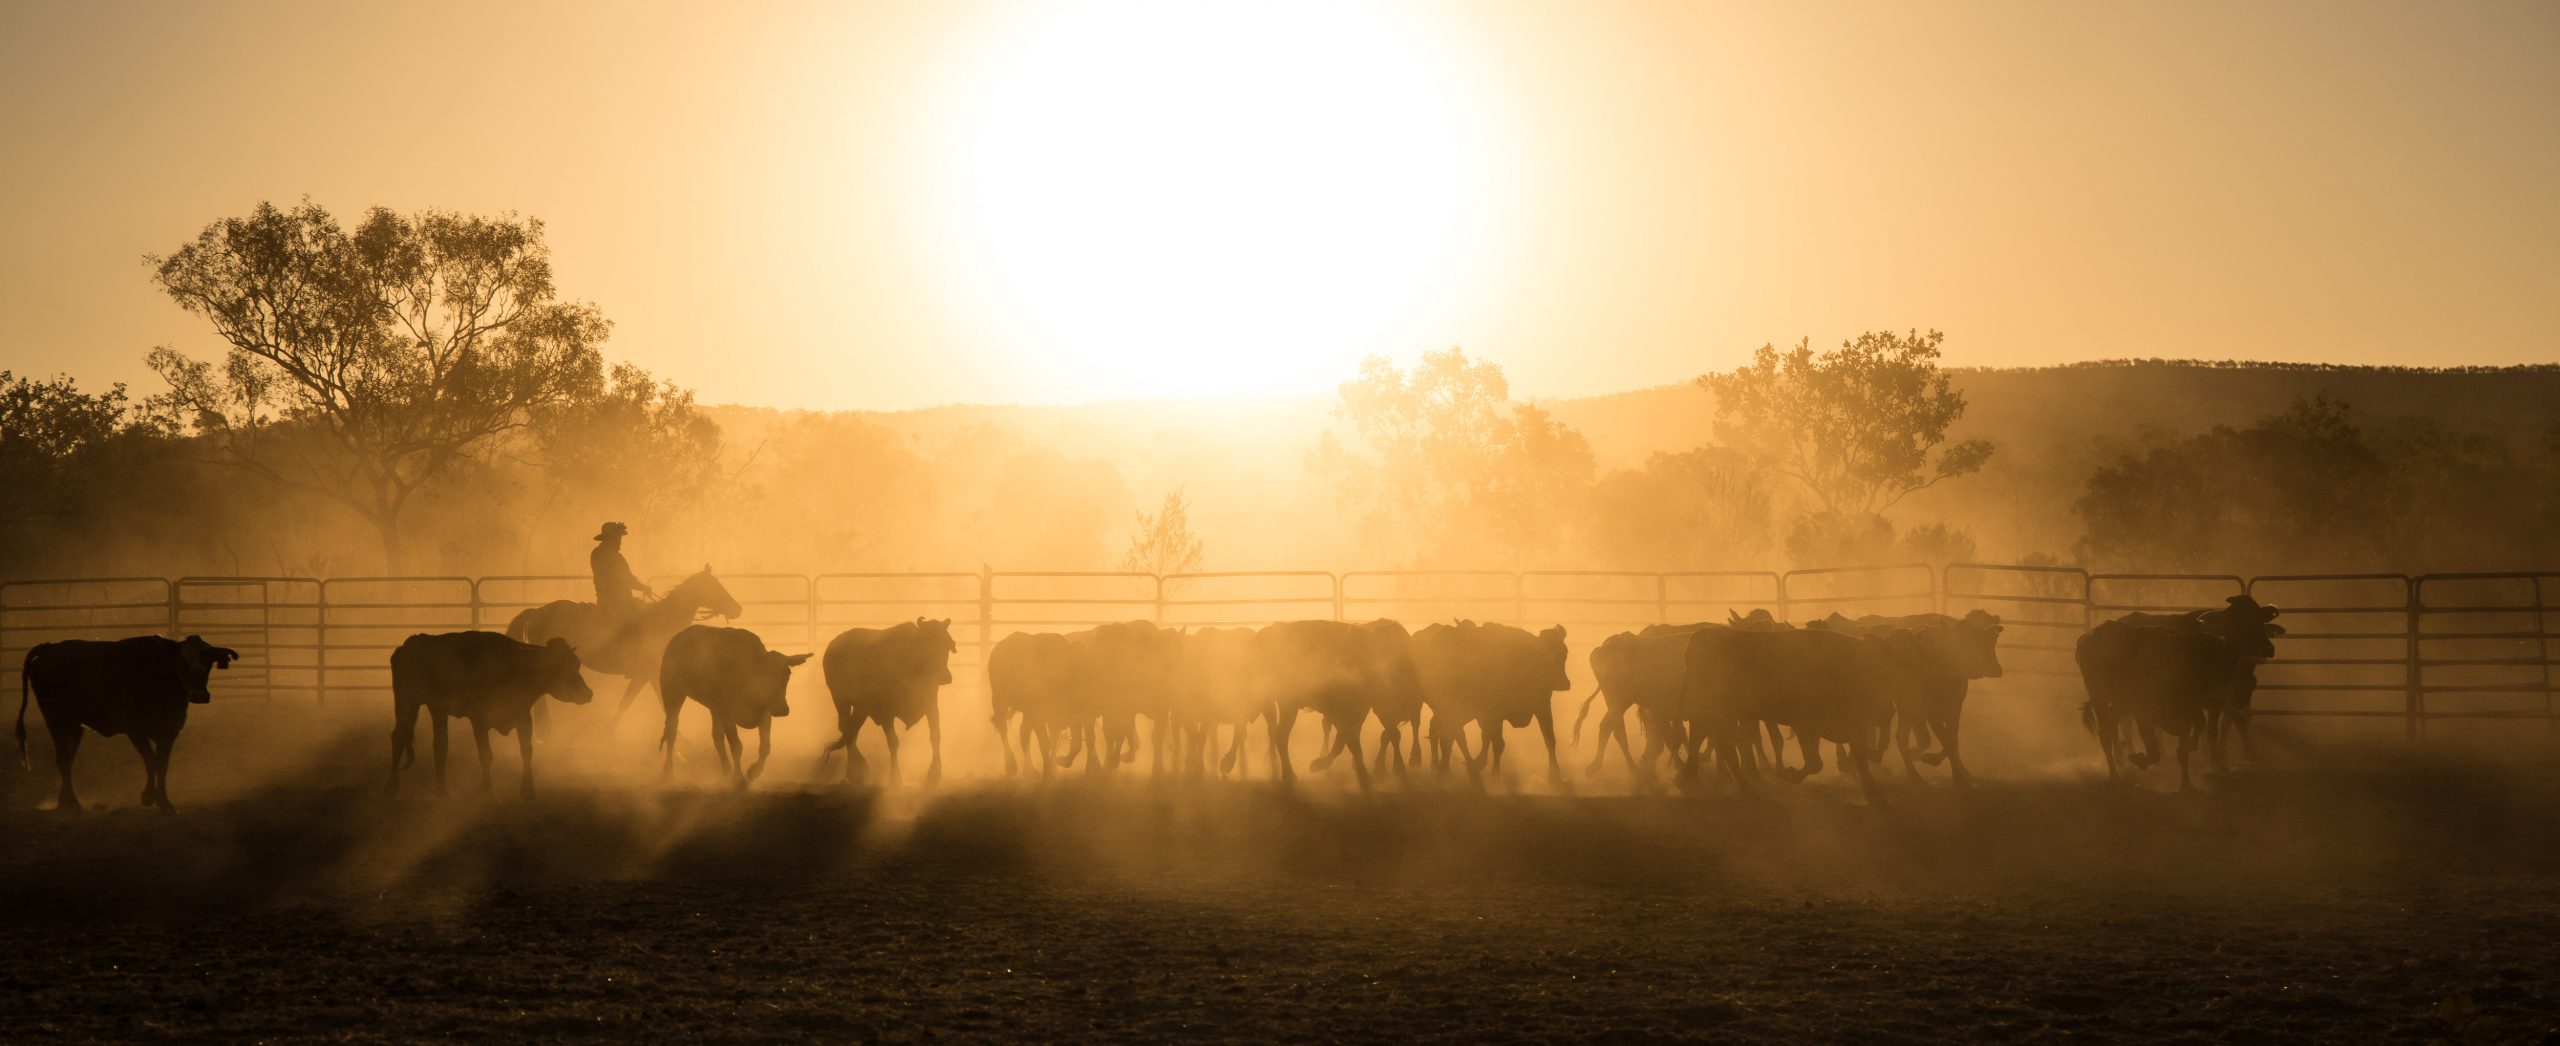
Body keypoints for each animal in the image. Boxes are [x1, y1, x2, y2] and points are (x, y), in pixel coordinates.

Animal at [16, 631, 240, 813]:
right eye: (181, 662)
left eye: (208, 660)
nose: (200, 695)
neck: (161, 676)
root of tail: (49, 648)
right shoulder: (135, 730)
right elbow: (150, 761)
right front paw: (149, 797)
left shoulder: (168, 732)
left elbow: (161, 765)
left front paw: (165, 803)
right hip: (56, 721)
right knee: (63, 760)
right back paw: (73, 804)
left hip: (74, 726)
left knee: (66, 760)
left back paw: (64, 803)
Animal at [389, 631, 593, 792]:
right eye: (561, 667)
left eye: (576, 663)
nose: (588, 693)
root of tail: (412, 642)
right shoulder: (479, 720)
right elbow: (486, 755)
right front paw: (488, 792)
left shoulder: (523, 717)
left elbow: (526, 751)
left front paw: (528, 791)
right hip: (407, 703)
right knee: (399, 737)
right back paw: (391, 788)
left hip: (437, 710)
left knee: (440, 747)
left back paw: (442, 792)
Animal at [499, 562, 742, 726]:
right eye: (715, 586)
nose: (737, 608)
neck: (662, 620)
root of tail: (537, 611)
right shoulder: (648, 672)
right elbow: (635, 702)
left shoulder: (648, 674)